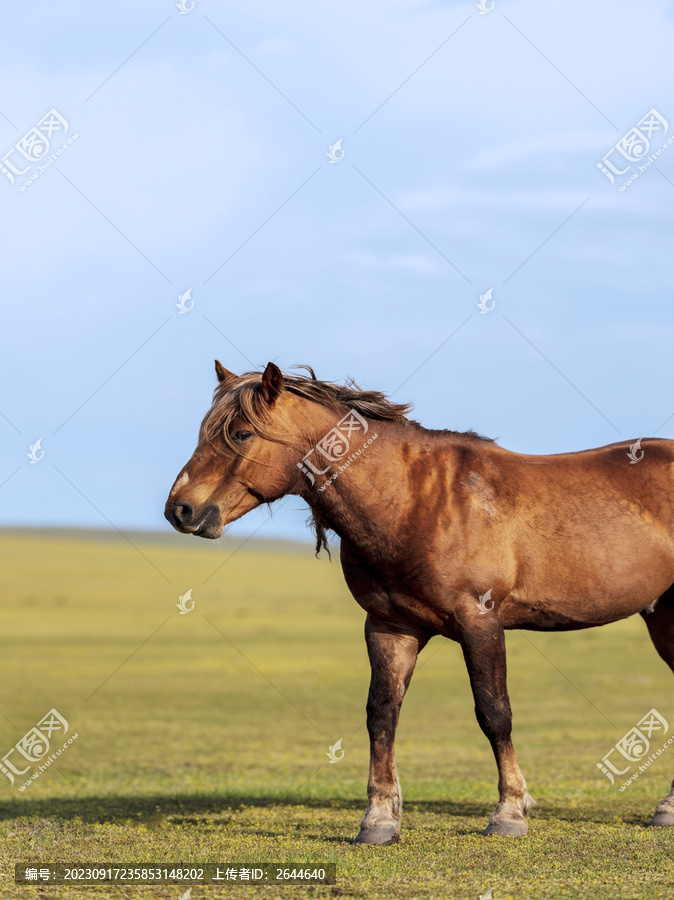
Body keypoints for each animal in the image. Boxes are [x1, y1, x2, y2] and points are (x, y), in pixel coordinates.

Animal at [164, 360, 674, 844]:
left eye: (240, 433)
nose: (180, 510)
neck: (410, 501)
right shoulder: (390, 627)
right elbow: (381, 715)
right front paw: (379, 819)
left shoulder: (479, 622)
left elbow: (494, 713)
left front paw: (509, 811)